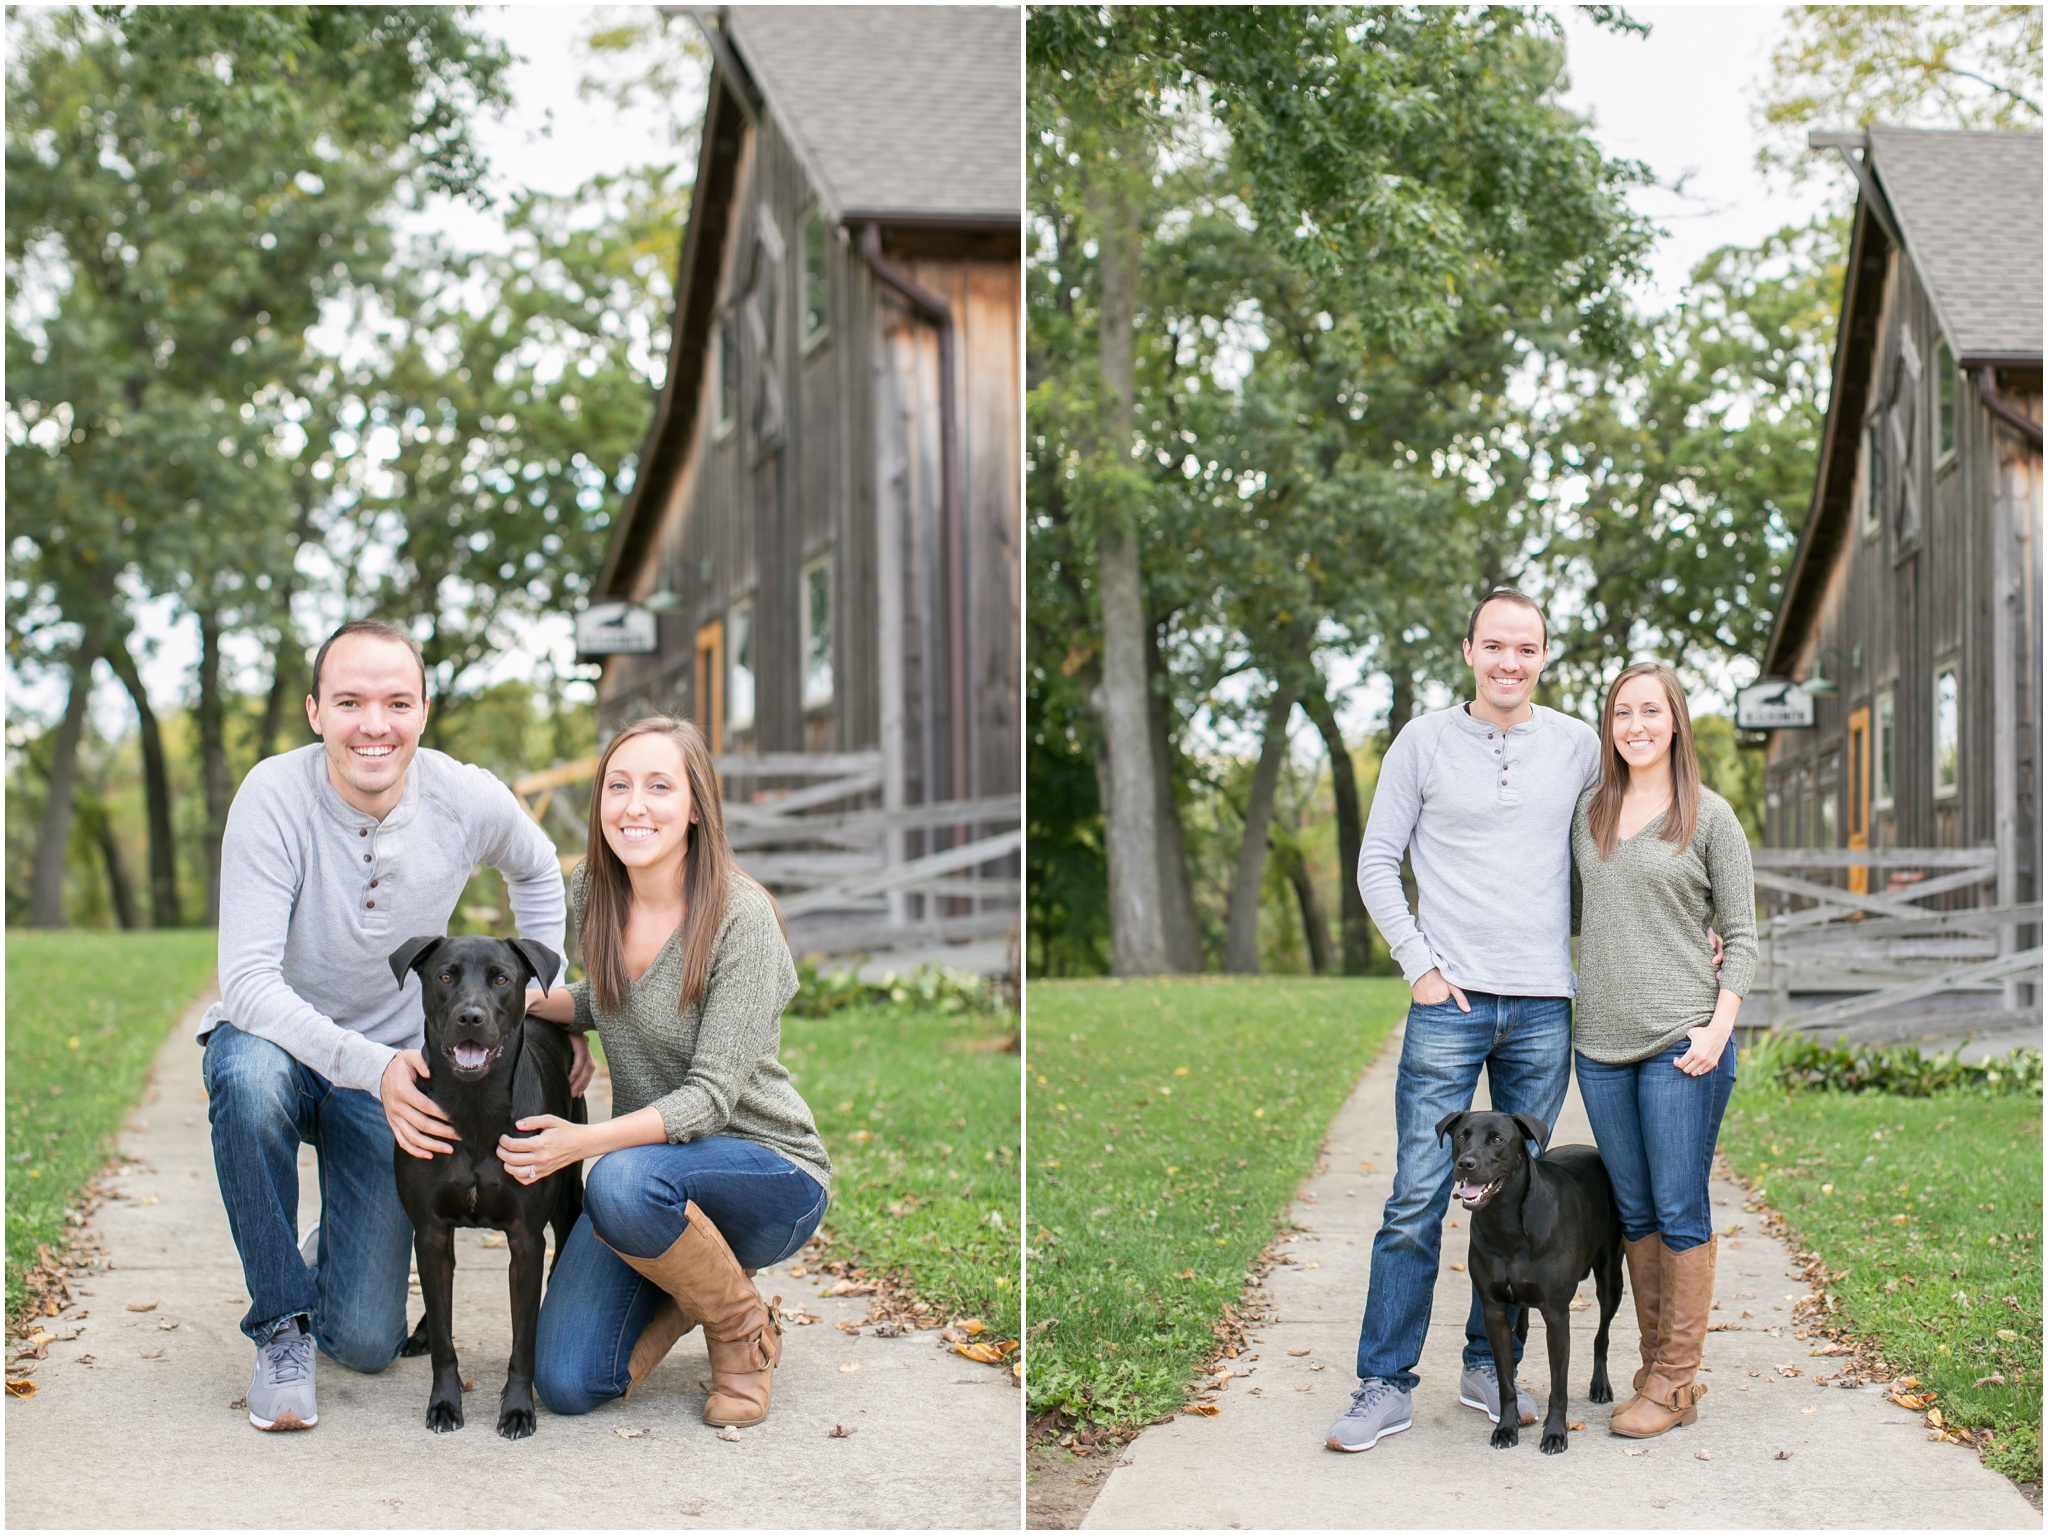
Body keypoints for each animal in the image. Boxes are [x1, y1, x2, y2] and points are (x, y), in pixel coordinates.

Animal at [387, 933, 581, 1449]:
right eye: (445, 976)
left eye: (501, 979)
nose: (470, 1017)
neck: (474, 1106)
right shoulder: (431, 1230)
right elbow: (444, 1336)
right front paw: (444, 1403)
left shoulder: (526, 1238)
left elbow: (523, 1341)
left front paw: (517, 1410)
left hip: (570, 1200)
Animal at [1433, 1113, 1622, 1457]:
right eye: (1461, 1137)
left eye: (1497, 1139)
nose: (1466, 1163)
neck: (1506, 1223)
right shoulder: (1494, 1311)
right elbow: (1506, 1381)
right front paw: (1507, 1428)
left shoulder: (1557, 1316)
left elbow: (1558, 1386)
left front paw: (1555, 1434)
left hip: (1610, 1279)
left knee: (1601, 1336)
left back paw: (1600, 1385)